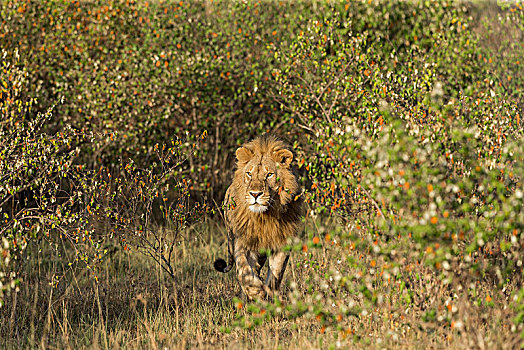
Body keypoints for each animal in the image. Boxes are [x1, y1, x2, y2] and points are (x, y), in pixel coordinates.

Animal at [213, 134, 302, 300]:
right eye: (249, 173)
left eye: (269, 175)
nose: (255, 194)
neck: (264, 217)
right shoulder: (243, 242)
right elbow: (244, 272)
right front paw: (256, 292)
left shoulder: (282, 243)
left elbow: (276, 275)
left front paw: (269, 294)